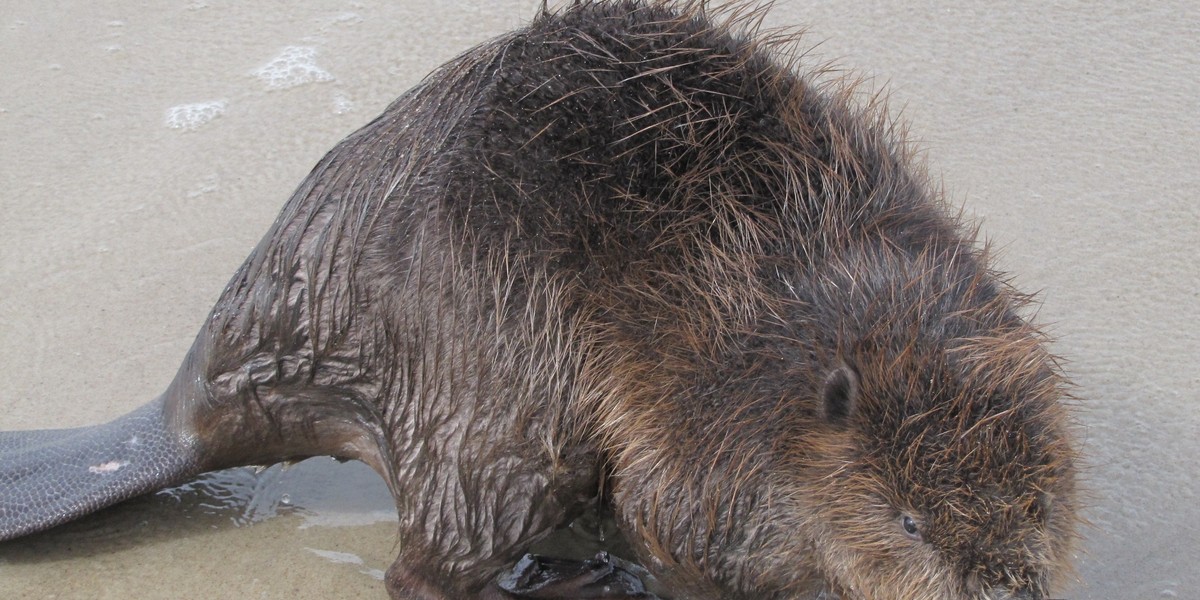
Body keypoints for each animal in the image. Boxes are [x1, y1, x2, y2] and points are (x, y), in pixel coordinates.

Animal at [0, 1, 1084, 600]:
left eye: (1040, 501)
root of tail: (182, 412)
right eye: (907, 521)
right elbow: (679, 539)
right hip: (492, 408)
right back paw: (573, 579)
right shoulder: (694, 435)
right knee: (422, 572)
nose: (1008, 591)